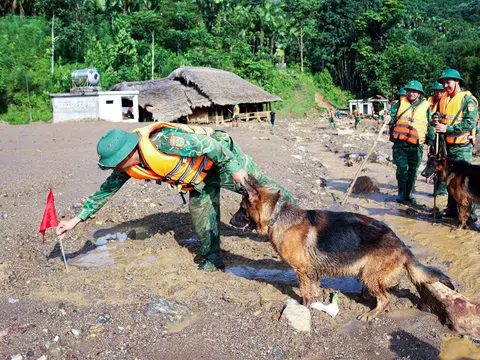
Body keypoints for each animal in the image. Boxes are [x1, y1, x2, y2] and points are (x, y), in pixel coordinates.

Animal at [237, 176, 454, 320]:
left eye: (242, 207)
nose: (231, 219)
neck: (276, 215)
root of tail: (402, 245)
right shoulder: (312, 271)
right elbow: (314, 289)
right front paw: (316, 303)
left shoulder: (302, 271)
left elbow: (306, 293)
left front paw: (305, 307)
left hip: (370, 275)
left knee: (385, 298)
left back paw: (371, 314)